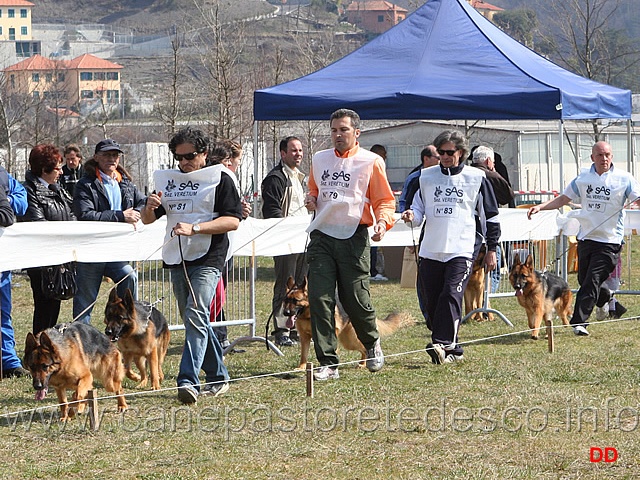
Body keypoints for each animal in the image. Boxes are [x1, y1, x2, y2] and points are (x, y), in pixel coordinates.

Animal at [282, 276, 412, 370]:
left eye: (296, 301)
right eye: (286, 300)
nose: (285, 312)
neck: (308, 315)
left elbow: (332, 350)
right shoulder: (304, 338)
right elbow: (303, 355)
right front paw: (301, 368)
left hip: (352, 339)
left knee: (365, 348)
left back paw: (365, 363)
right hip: (348, 341)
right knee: (363, 349)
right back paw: (362, 363)